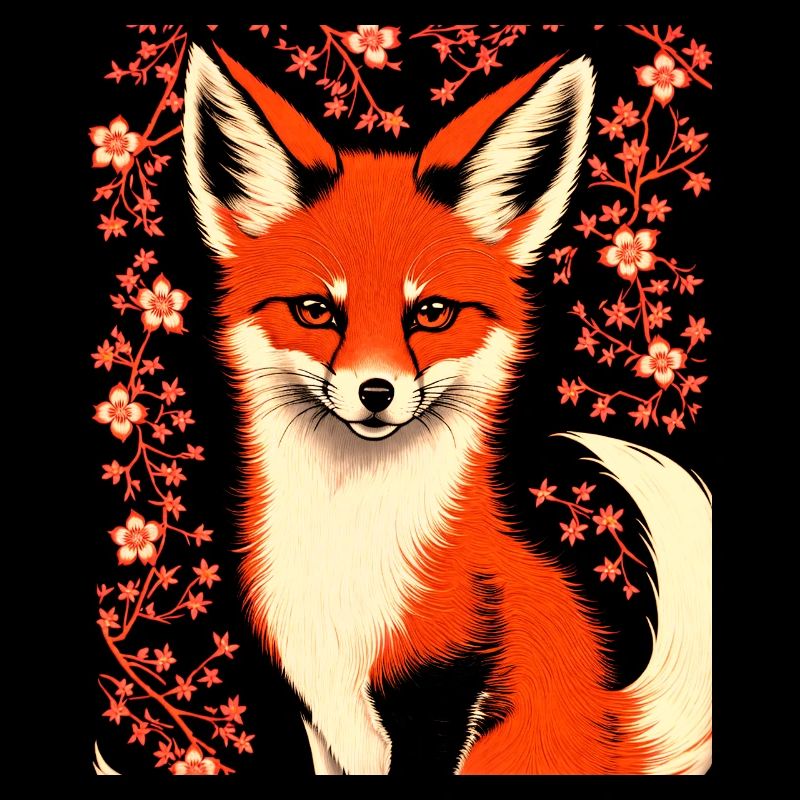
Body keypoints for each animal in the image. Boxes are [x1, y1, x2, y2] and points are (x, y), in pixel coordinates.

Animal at [181, 42, 712, 775]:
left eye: (431, 313)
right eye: (316, 310)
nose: (376, 392)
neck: (349, 560)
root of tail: (613, 731)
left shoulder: (444, 696)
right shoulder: (318, 713)